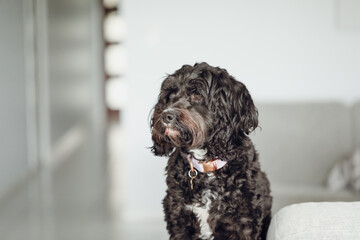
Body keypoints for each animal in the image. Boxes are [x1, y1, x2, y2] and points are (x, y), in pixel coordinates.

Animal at [150, 62, 272, 239]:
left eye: (196, 94)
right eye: (170, 95)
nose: (166, 116)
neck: (206, 167)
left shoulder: (242, 222)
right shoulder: (179, 217)